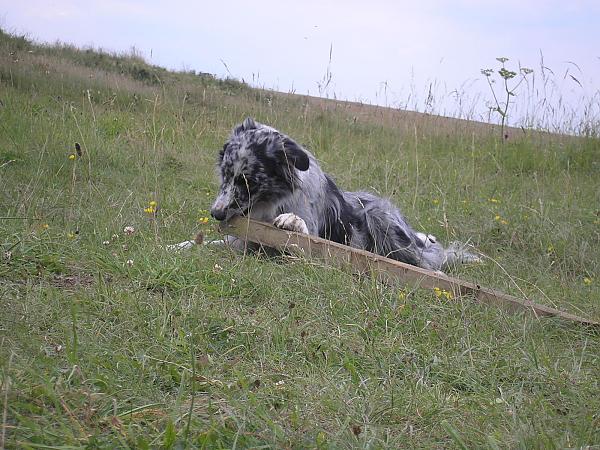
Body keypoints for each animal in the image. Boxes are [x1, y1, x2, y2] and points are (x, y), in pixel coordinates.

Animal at [172, 117, 478, 270]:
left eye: (248, 181)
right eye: (225, 174)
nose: (216, 213)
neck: (273, 203)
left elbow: (304, 236)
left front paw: (293, 222)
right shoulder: (242, 242)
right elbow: (205, 243)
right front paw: (177, 246)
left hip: (380, 215)